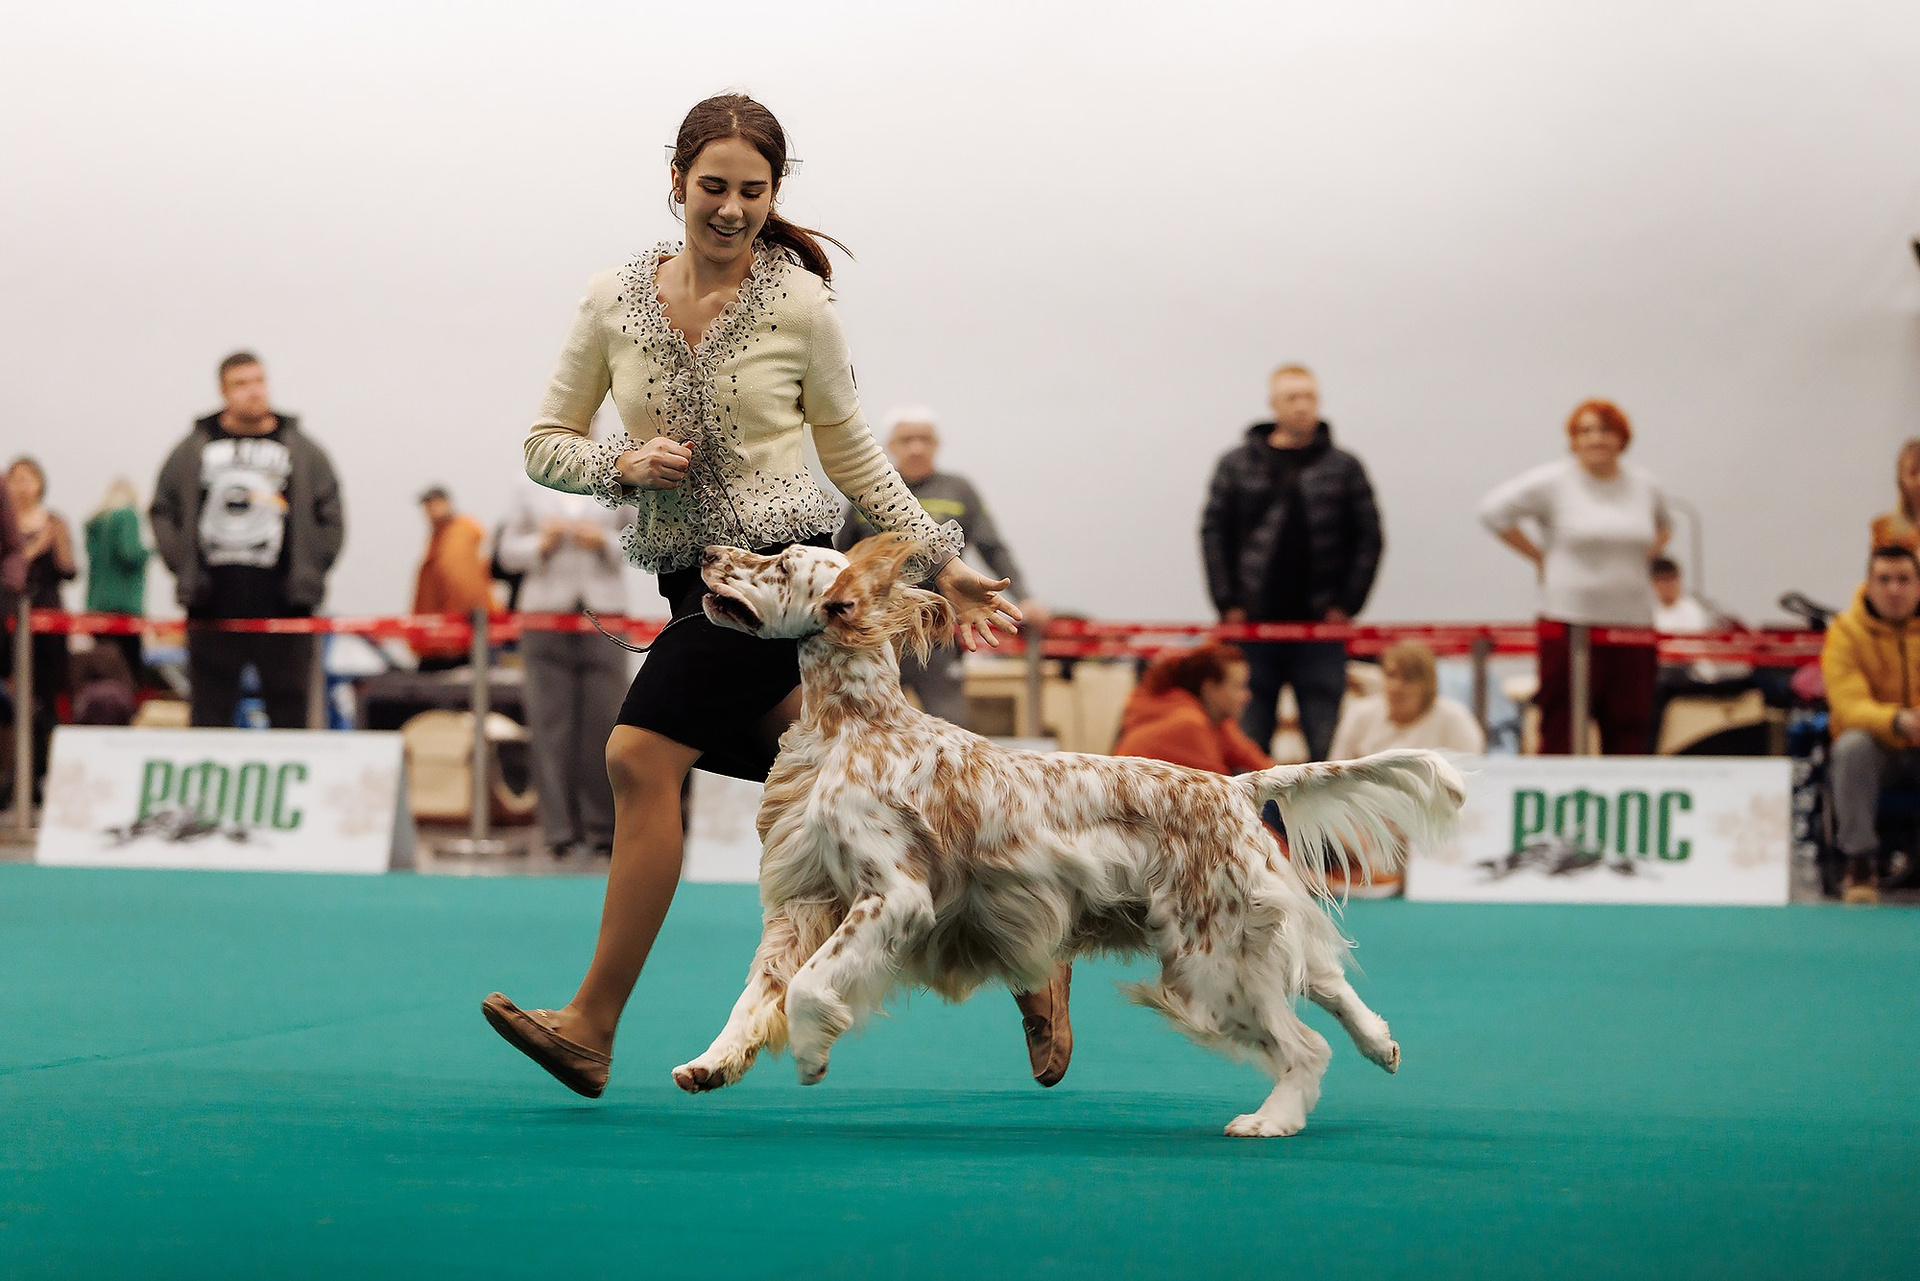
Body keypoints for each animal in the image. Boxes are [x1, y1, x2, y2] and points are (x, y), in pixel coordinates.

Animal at [673, 535, 1465, 1137]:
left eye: (779, 563)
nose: (705, 551)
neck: (852, 727)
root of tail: (1233, 785)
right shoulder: (804, 901)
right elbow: (758, 991)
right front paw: (712, 1062)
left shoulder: (893, 896)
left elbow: (809, 987)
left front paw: (811, 1052)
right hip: (1249, 930)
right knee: (1328, 980)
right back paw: (1381, 1044)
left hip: (1212, 956)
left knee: (1304, 1045)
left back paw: (1271, 1119)